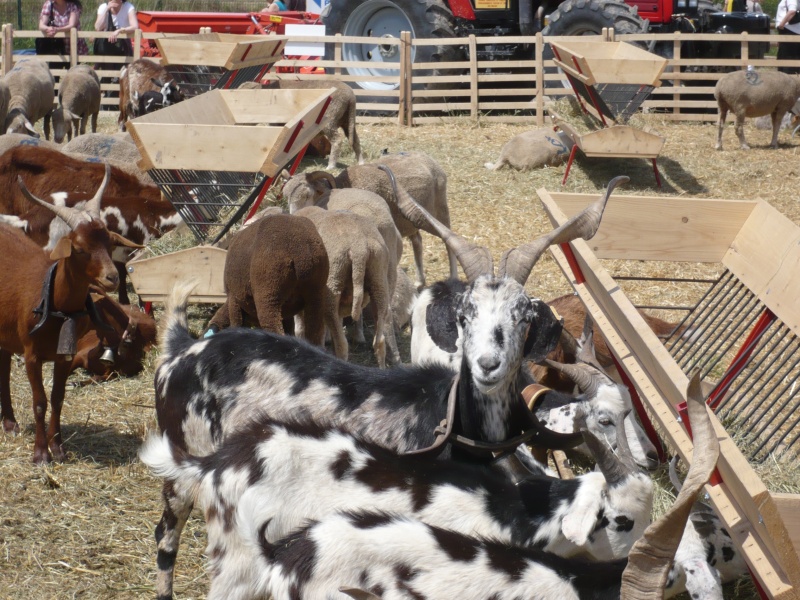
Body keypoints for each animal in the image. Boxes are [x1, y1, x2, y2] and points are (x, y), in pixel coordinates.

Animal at [0, 168, 141, 464]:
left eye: (110, 242)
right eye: (79, 247)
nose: (112, 277)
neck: (52, 301)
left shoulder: (64, 355)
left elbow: (57, 397)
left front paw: (58, 448)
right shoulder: (31, 354)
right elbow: (39, 402)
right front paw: (41, 454)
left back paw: (9, 421)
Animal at [208, 211, 332, 344]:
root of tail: (300, 252)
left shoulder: (233, 300)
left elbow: (236, 323)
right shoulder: (287, 313)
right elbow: (289, 328)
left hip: (268, 293)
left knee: (274, 328)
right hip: (315, 291)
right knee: (315, 332)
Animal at [294, 205, 394, 366]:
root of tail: (359, 247)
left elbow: (302, 330)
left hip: (332, 284)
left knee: (342, 344)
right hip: (379, 278)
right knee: (379, 342)